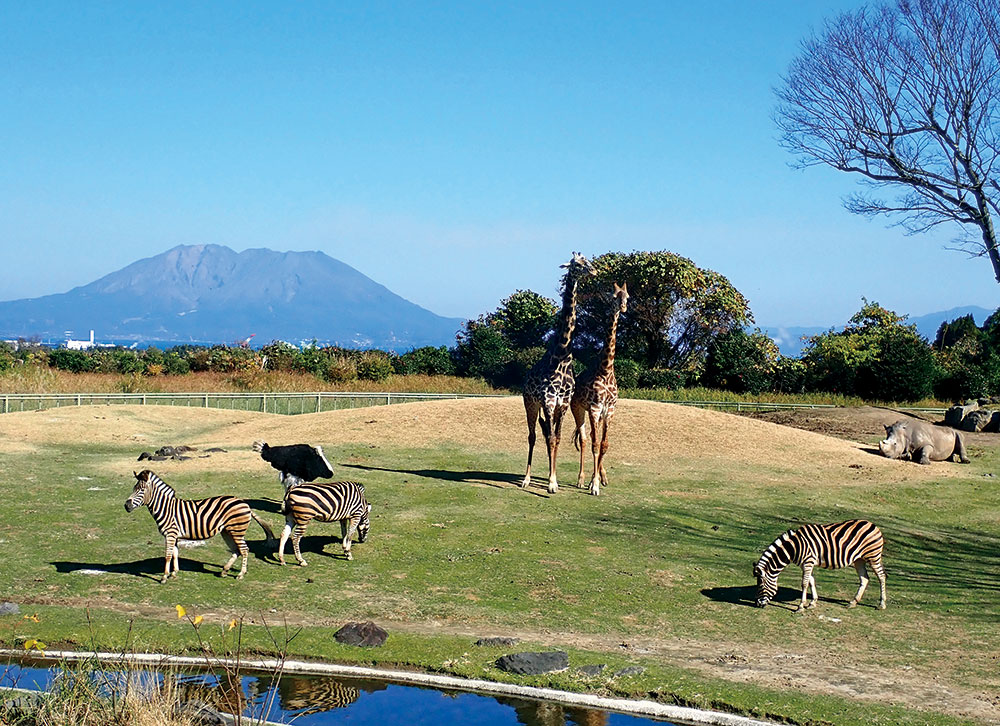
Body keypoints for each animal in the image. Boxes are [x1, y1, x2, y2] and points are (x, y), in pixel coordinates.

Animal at [124, 472, 278, 584]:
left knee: (245, 550)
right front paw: (174, 573)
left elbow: (168, 555)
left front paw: (164, 577)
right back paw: (224, 571)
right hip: (227, 531)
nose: (126, 506)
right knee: (237, 550)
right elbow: (175, 553)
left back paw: (240, 574)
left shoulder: (170, 534)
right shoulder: (175, 536)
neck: (166, 508)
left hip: (236, 531)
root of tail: (245, 504)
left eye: (141, 490)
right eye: (133, 489)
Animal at [524, 252, 592, 494]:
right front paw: (551, 483)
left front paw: (553, 479)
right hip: (530, 403)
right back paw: (526, 479)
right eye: (576, 263)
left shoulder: (562, 403)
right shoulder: (547, 400)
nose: (594, 271)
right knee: (534, 436)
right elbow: (551, 438)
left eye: (587, 260)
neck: (562, 355)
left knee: (547, 435)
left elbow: (558, 438)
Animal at [752, 520, 888, 612]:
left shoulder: (808, 562)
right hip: (859, 559)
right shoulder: (806, 564)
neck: (795, 547)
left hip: (873, 556)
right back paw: (853, 602)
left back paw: (881, 604)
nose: (757, 604)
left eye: (761, 586)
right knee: (865, 578)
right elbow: (811, 581)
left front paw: (800, 606)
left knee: (881, 577)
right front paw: (812, 603)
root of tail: (872, 525)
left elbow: (804, 583)